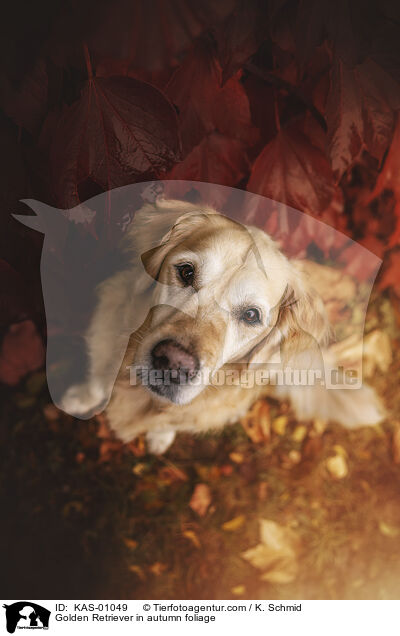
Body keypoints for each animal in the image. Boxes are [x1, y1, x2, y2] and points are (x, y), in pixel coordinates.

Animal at [61, 199, 384, 452]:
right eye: (186, 272)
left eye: (251, 315)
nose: (173, 363)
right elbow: (97, 382)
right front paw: (80, 398)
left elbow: (168, 422)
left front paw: (160, 436)